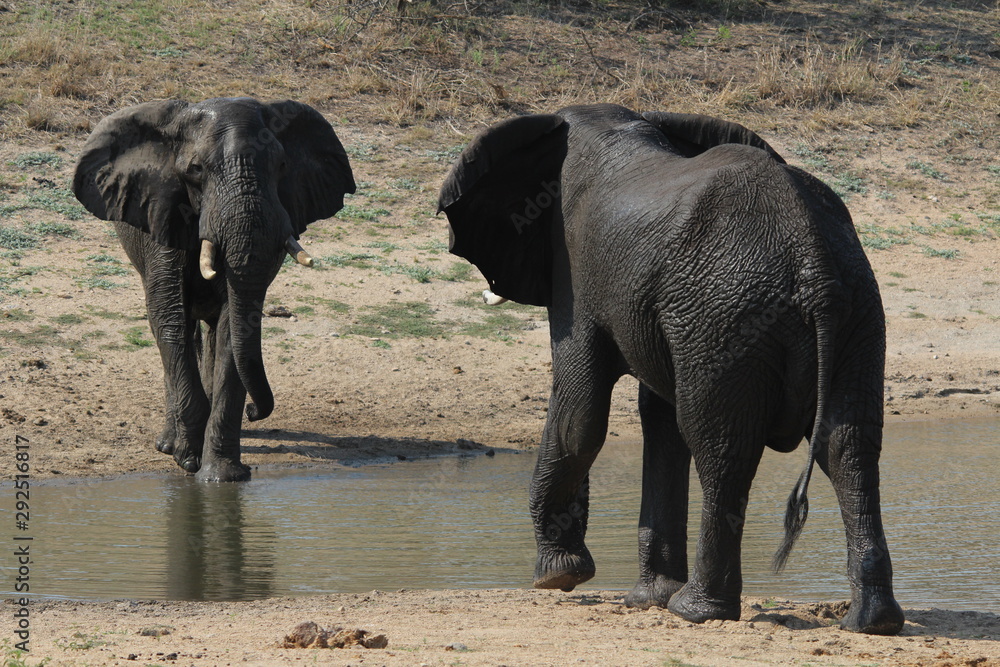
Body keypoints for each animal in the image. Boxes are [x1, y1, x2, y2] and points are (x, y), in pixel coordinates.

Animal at [74, 96, 356, 482]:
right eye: (195, 170)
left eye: (282, 165)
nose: (254, 411)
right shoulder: (163, 213)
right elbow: (169, 321)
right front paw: (186, 458)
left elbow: (232, 331)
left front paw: (223, 477)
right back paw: (168, 443)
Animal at [438, 104, 908, 636]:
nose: (560, 578)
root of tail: (813, 261)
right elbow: (659, 421)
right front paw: (645, 599)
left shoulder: (576, 271)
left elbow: (580, 416)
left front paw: (558, 577)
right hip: (851, 311)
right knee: (847, 446)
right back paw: (871, 622)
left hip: (728, 314)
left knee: (723, 449)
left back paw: (697, 610)